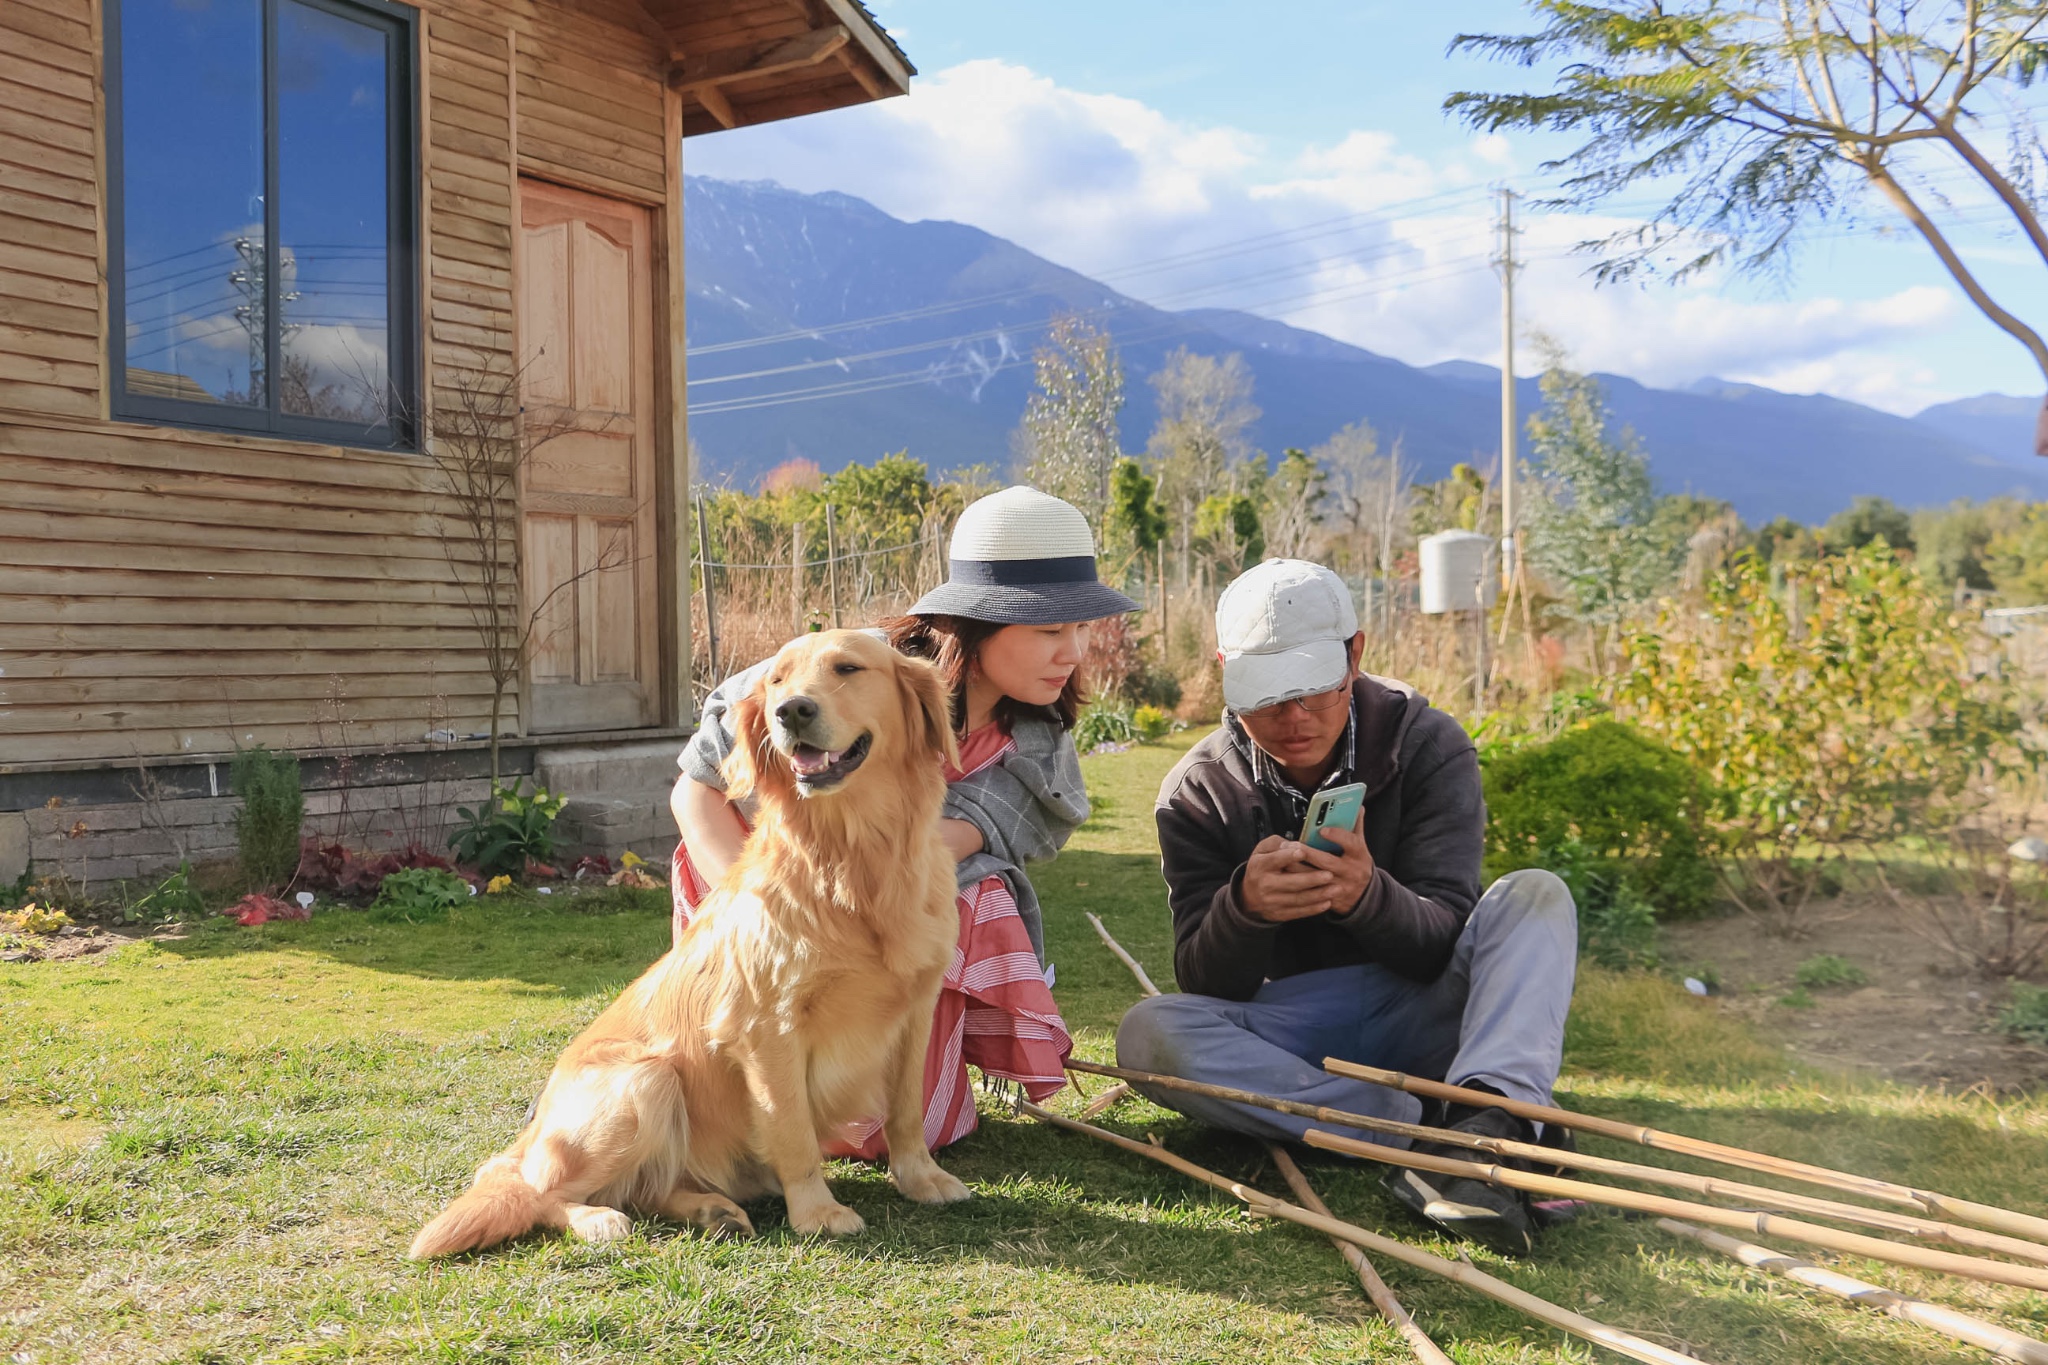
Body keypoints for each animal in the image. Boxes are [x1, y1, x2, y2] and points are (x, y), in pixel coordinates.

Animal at [411, 634, 970, 1260]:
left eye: (848, 668)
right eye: (776, 681)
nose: (791, 712)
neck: (852, 859)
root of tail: (533, 1130)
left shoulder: (916, 1009)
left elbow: (906, 1112)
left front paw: (921, 1178)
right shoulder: (767, 1026)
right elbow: (793, 1129)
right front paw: (817, 1211)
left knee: (649, 1188)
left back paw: (711, 1210)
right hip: (647, 1080)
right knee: (541, 1190)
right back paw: (598, 1219)